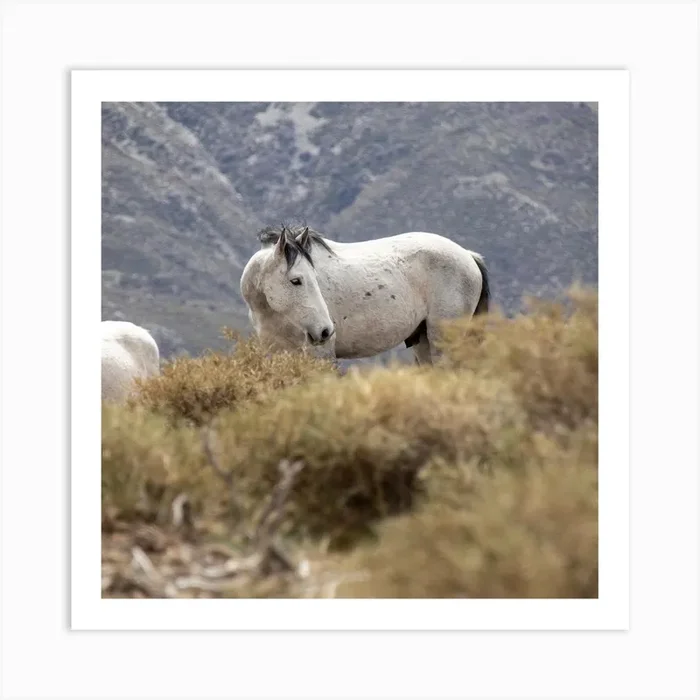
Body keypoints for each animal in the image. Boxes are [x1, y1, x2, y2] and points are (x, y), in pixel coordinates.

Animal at [240, 224, 490, 365]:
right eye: (296, 280)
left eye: (314, 277)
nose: (325, 331)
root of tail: (469, 256)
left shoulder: (321, 356)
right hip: (423, 341)